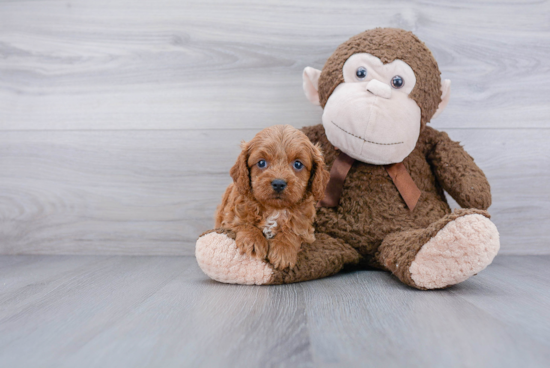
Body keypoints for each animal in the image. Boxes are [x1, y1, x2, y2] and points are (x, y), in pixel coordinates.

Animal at [216, 125, 330, 268]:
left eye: (298, 164)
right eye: (261, 163)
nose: (279, 184)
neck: (274, 209)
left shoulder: (305, 230)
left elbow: (292, 232)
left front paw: (283, 250)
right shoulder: (229, 219)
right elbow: (244, 223)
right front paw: (253, 241)